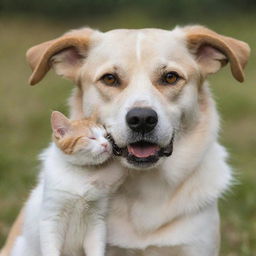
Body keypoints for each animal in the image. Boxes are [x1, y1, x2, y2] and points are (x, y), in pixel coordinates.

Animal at [11, 111, 125, 256]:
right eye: (91, 137)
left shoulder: (96, 222)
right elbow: (51, 249)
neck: (80, 173)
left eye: (107, 137)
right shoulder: (51, 220)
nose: (106, 144)